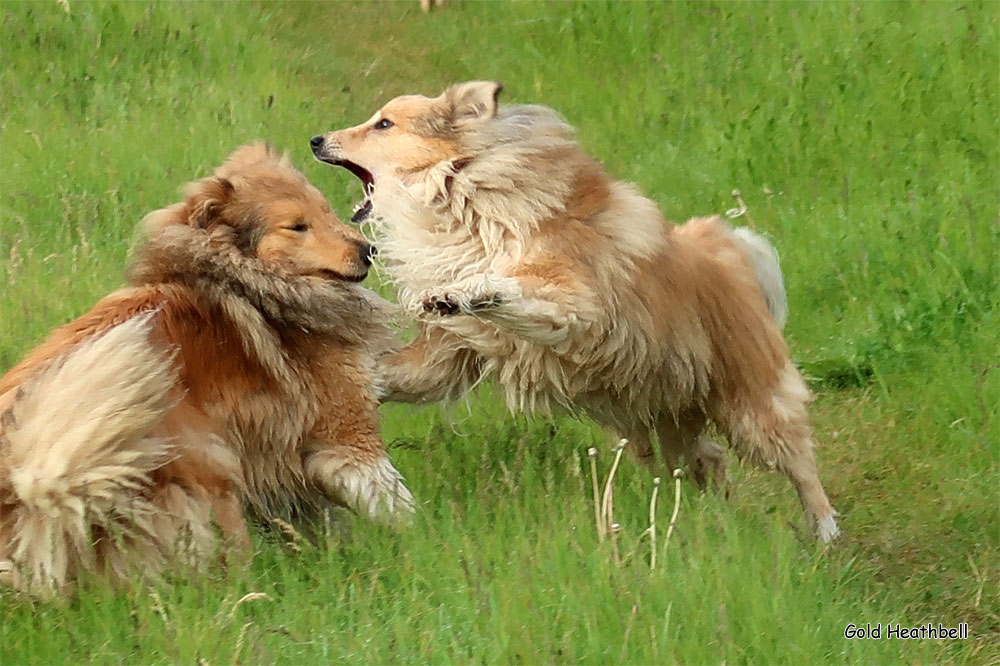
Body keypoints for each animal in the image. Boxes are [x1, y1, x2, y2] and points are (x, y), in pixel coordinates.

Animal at [0, 143, 414, 592]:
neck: (241, 274)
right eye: (297, 226)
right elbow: (395, 502)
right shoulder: (347, 436)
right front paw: (424, 540)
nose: (368, 250)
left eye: (325, 211)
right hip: (212, 465)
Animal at [310, 83, 836, 540]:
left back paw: (825, 533)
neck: (462, 192)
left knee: (800, 464)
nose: (316, 139)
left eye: (384, 123)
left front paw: (468, 289)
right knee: (708, 459)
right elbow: (396, 373)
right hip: (659, 423)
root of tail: (729, 254)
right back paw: (713, 516)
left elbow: (516, 286)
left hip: (752, 407)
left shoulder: (576, 305)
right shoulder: (449, 355)